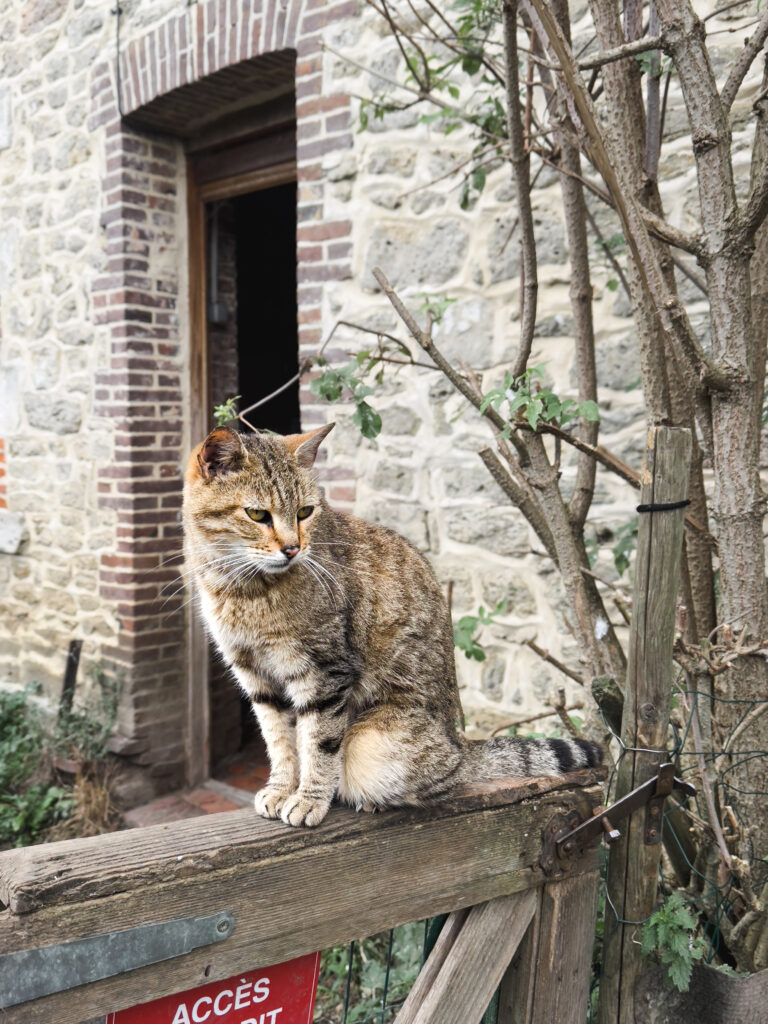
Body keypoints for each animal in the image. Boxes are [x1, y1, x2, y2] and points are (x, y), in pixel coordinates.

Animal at [185, 421, 602, 823]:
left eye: (304, 512)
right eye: (257, 514)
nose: (293, 548)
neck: (242, 589)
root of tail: (461, 745)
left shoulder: (325, 672)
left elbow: (317, 744)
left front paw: (308, 799)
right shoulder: (256, 675)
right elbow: (279, 740)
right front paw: (281, 788)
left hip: (373, 742)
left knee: (443, 780)